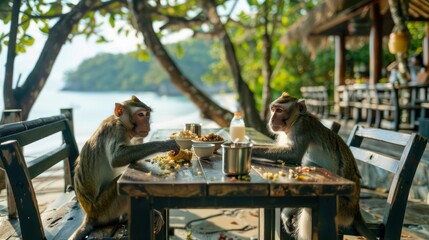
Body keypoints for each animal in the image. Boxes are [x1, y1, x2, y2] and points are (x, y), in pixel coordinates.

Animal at [69, 95, 180, 240]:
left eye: (147, 114)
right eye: (140, 114)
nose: (147, 123)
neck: (123, 124)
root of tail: (89, 214)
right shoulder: (117, 130)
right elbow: (117, 157)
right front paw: (165, 144)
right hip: (104, 209)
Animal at [251, 92, 374, 240]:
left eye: (280, 110)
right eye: (273, 109)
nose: (272, 119)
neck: (295, 120)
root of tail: (356, 211)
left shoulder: (302, 127)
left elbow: (294, 154)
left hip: (343, 209)